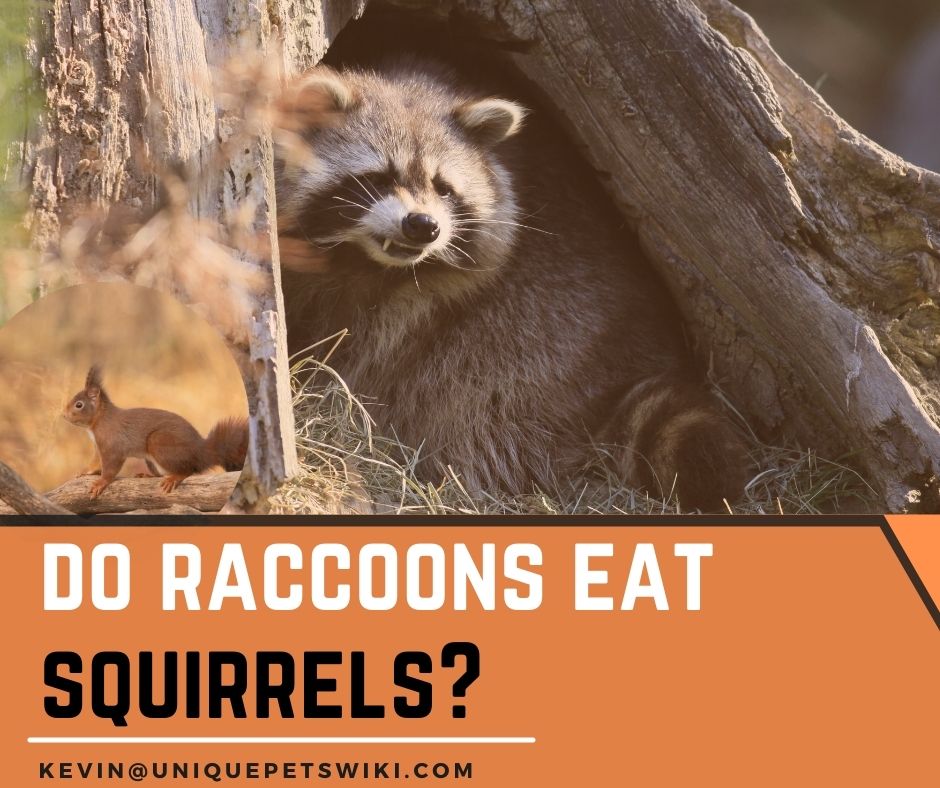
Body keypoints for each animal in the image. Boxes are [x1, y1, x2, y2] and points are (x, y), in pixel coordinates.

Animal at [62, 366, 248, 498]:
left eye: (79, 404)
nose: (63, 415)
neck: (98, 422)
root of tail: (201, 451)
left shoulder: (113, 446)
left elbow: (110, 468)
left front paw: (100, 483)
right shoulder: (98, 447)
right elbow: (96, 463)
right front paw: (85, 471)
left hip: (159, 442)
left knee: (189, 469)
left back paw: (174, 477)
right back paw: (147, 476)